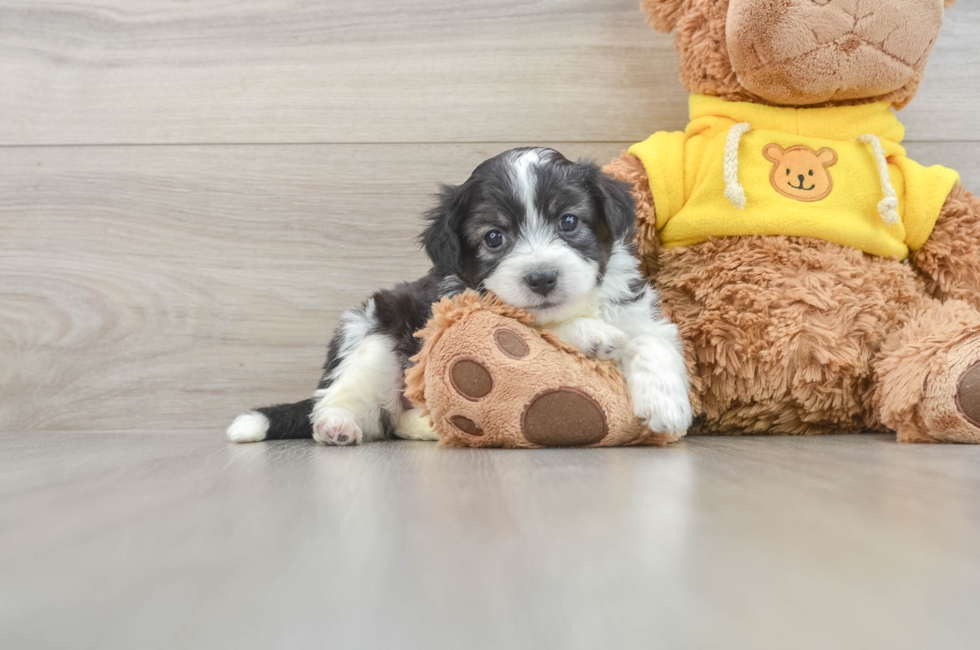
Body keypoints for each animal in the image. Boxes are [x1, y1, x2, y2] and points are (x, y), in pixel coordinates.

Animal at [227, 146, 692, 446]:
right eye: (494, 237)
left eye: (569, 221)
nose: (542, 278)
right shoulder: (462, 305)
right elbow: (525, 322)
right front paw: (590, 335)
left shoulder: (634, 307)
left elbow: (652, 339)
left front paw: (666, 404)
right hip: (374, 332)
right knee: (347, 399)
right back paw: (338, 425)